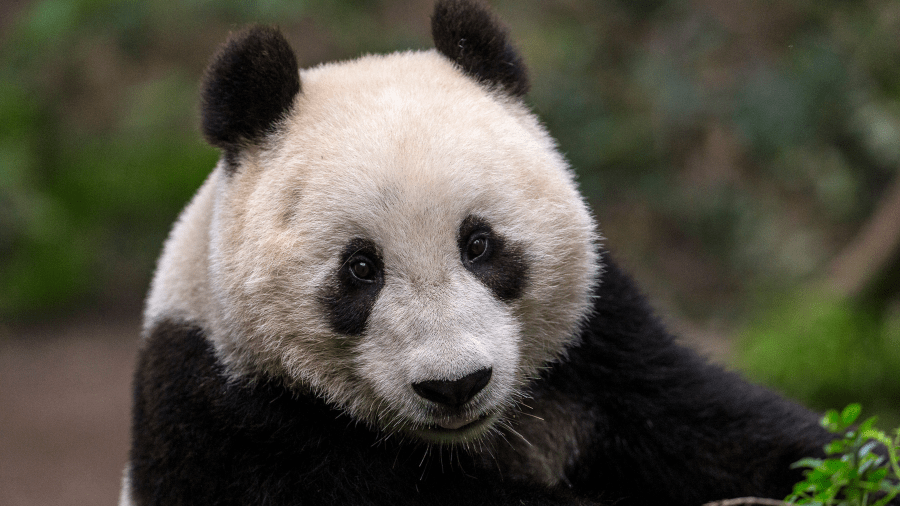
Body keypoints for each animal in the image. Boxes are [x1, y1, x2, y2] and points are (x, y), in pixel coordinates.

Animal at [119, 0, 836, 506]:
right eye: (361, 268)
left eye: (479, 243)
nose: (455, 384)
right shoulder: (236, 425)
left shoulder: (603, 347)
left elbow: (721, 429)